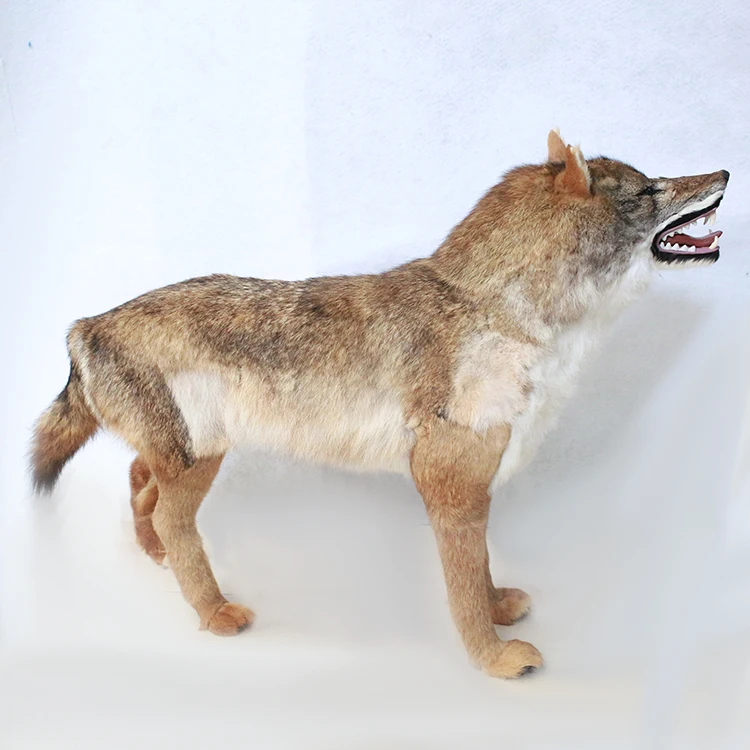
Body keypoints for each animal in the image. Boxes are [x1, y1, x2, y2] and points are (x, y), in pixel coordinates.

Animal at [31, 130, 728, 678]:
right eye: (651, 190)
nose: (724, 173)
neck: (506, 319)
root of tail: (87, 324)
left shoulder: (475, 485)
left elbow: (481, 571)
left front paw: (499, 607)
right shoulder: (449, 486)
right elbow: (462, 590)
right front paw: (493, 660)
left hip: (188, 456)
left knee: (139, 483)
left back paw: (154, 557)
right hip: (198, 462)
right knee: (174, 520)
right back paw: (213, 610)